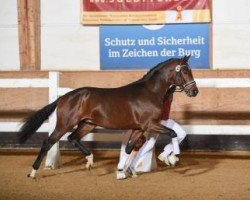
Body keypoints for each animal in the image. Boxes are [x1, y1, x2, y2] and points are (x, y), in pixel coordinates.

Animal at [17, 55, 198, 178]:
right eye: (184, 70)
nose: (194, 91)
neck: (150, 92)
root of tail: (63, 97)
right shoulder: (150, 124)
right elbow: (173, 133)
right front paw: (172, 158)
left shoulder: (138, 129)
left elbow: (129, 149)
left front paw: (123, 171)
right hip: (65, 124)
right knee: (48, 142)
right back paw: (33, 172)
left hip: (87, 124)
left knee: (73, 138)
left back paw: (90, 160)